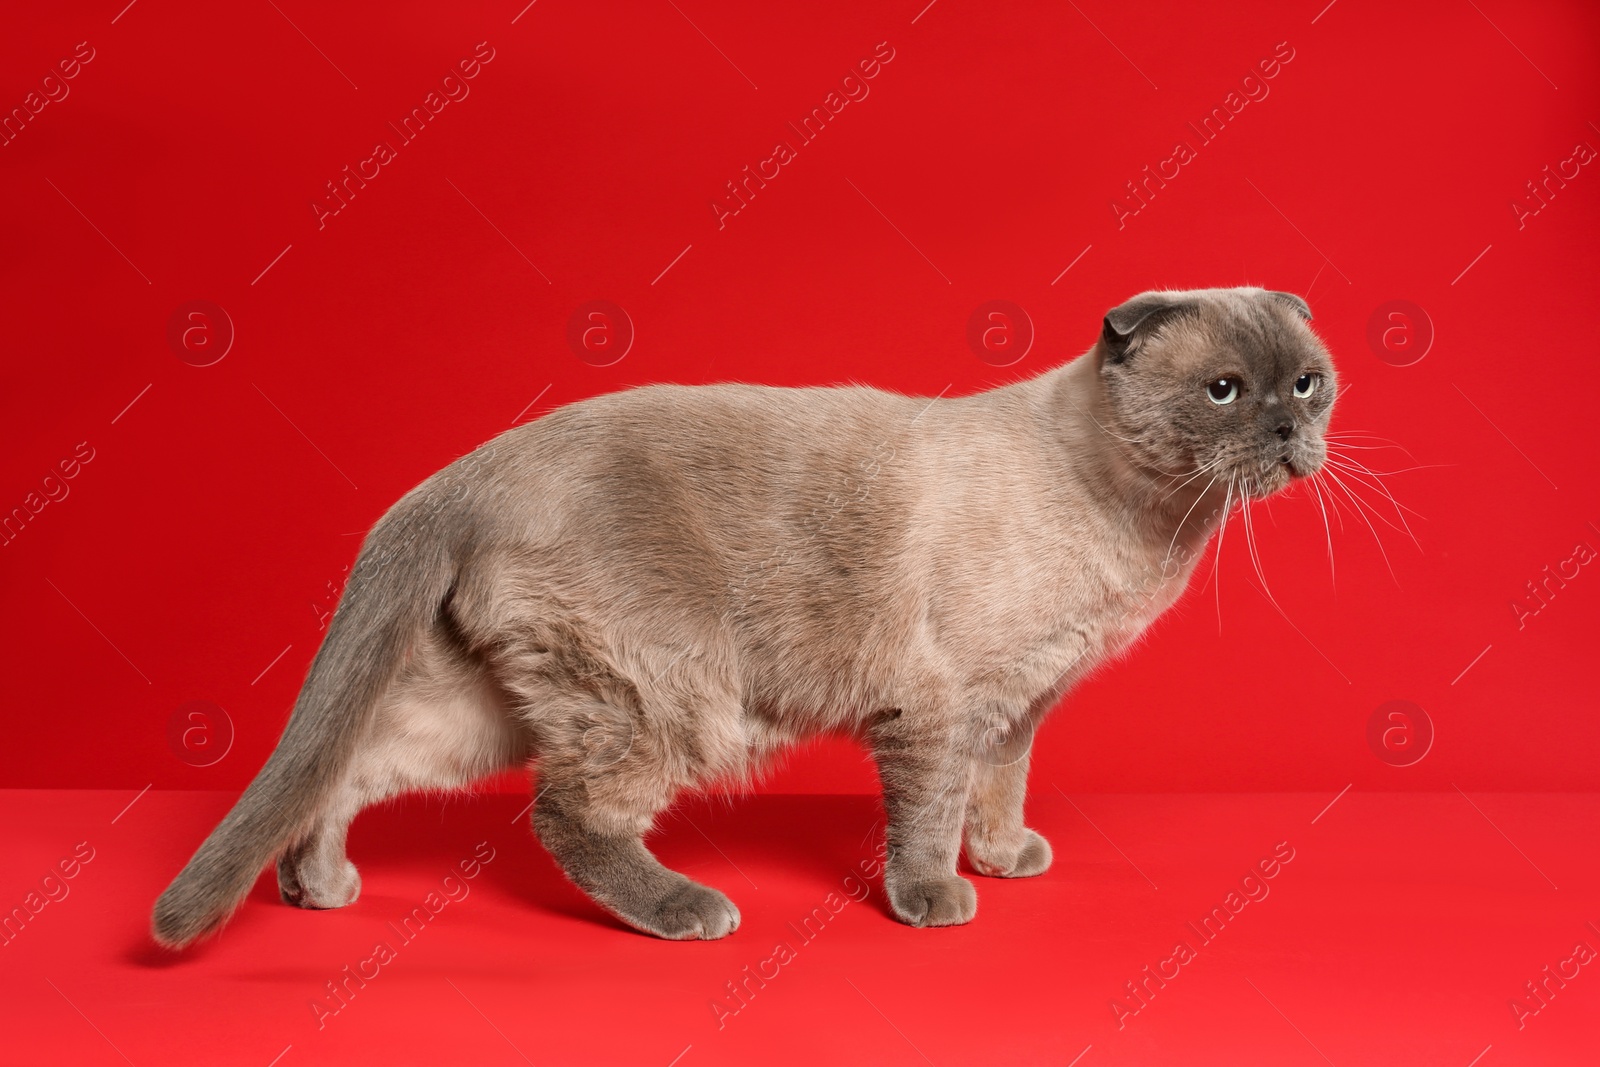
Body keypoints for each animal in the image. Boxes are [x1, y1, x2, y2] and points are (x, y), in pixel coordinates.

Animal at [152, 283, 1337, 940]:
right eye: (1226, 391)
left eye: (1307, 383)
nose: (1289, 429)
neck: (1146, 527)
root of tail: (462, 471)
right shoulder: (942, 711)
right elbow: (928, 820)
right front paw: (937, 900)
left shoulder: (1014, 711)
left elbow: (996, 797)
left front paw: (1006, 860)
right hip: (669, 698)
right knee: (563, 812)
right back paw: (688, 911)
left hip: (483, 708)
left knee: (349, 767)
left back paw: (322, 886)